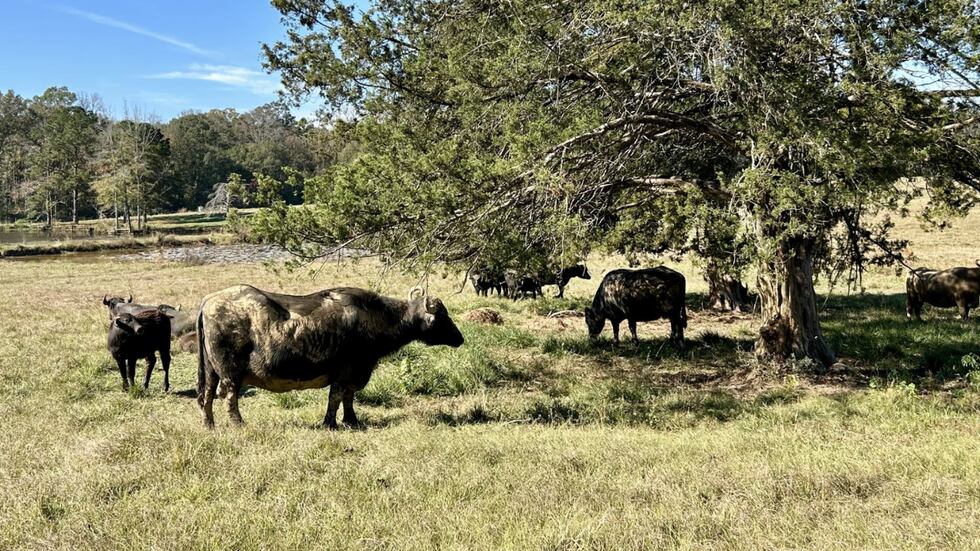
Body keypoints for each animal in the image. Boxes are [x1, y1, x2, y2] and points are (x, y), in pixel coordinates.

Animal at [196, 285, 464, 429]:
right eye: (442, 317)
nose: (460, 338)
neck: (371, 318)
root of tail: (207, 302)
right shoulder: (346, 371)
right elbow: (336, 397)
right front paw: (330, 423)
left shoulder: (354, 374)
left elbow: (348, 398)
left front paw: (352, 420)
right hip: (230, 373)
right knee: (229, 398)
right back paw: (238, 424)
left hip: (210, 371)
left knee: (206, 396)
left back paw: (209, 425)